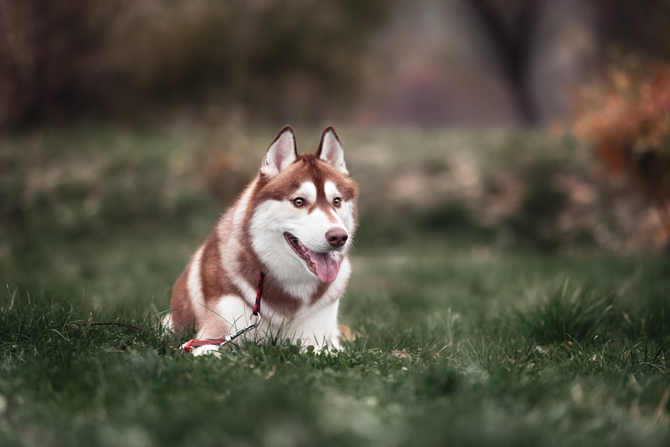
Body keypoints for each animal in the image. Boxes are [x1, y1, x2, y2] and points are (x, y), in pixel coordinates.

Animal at [166, 127, 360, 356]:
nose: (338, 237)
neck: (289, 284)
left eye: (336, 201)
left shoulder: (314, 341)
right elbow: (210, 350)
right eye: (299, 201)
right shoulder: (212, 335)